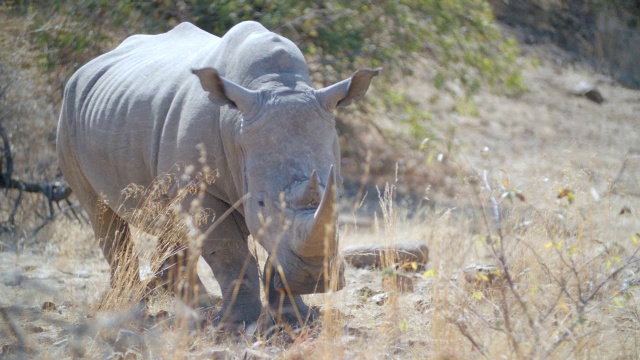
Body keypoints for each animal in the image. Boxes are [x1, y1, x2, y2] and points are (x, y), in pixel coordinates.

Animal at [57, 21, 378, 328]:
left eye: (336, 195)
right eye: (260, 202)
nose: (314, 278)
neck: (275, 85)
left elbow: (273, 249)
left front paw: (297, 319)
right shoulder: (201, 188)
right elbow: (230, 253)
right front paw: (238, 323)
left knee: (172, 225)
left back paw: (200, 310)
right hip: (68, 114)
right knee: (101, 212)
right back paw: (135, 310)